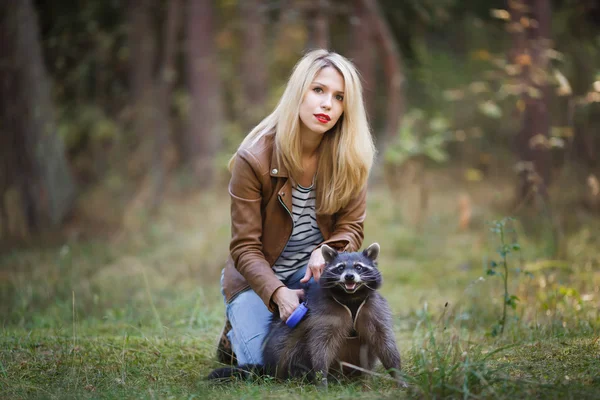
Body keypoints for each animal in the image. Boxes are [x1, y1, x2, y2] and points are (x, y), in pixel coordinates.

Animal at [209, 242, 406, 390]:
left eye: (359, 266)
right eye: (340, 267)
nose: (349, 277)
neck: (350, 296)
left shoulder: (374, 309)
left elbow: (384, 342)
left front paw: (398, 375)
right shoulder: (322, 314)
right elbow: (320, 346)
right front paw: (321, 378)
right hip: (284, 351)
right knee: (290, 344)